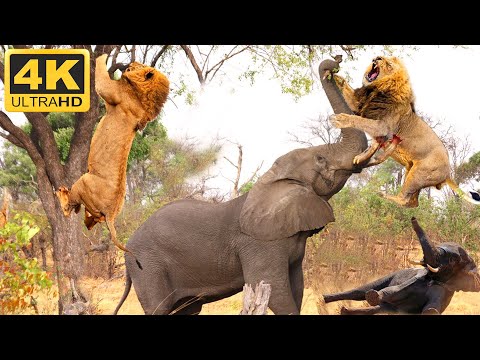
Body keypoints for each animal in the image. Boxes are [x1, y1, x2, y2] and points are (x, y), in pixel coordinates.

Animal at [322, 217, 480, 316]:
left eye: (453, 260)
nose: (413, 218)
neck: (433, 278)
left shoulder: (444, 289)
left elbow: (431, 310)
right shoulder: (416, 279)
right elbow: (393, 290)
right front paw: (373, 295)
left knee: (377, 308)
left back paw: (344, 310)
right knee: (359, 291)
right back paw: (325, 299)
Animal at [330, 56, 480, 208]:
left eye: (389, 64)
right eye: (381, 57)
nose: (377, 58)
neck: (377, 90)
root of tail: (448, 172)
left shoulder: (382, 126)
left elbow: (360, 120)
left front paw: (340, 119)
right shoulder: (361, 105)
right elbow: (348, 92)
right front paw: (337, 77)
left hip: (418, 173)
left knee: (404, 199)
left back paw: (383, 195)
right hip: (410, 169)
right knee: (413, 202)